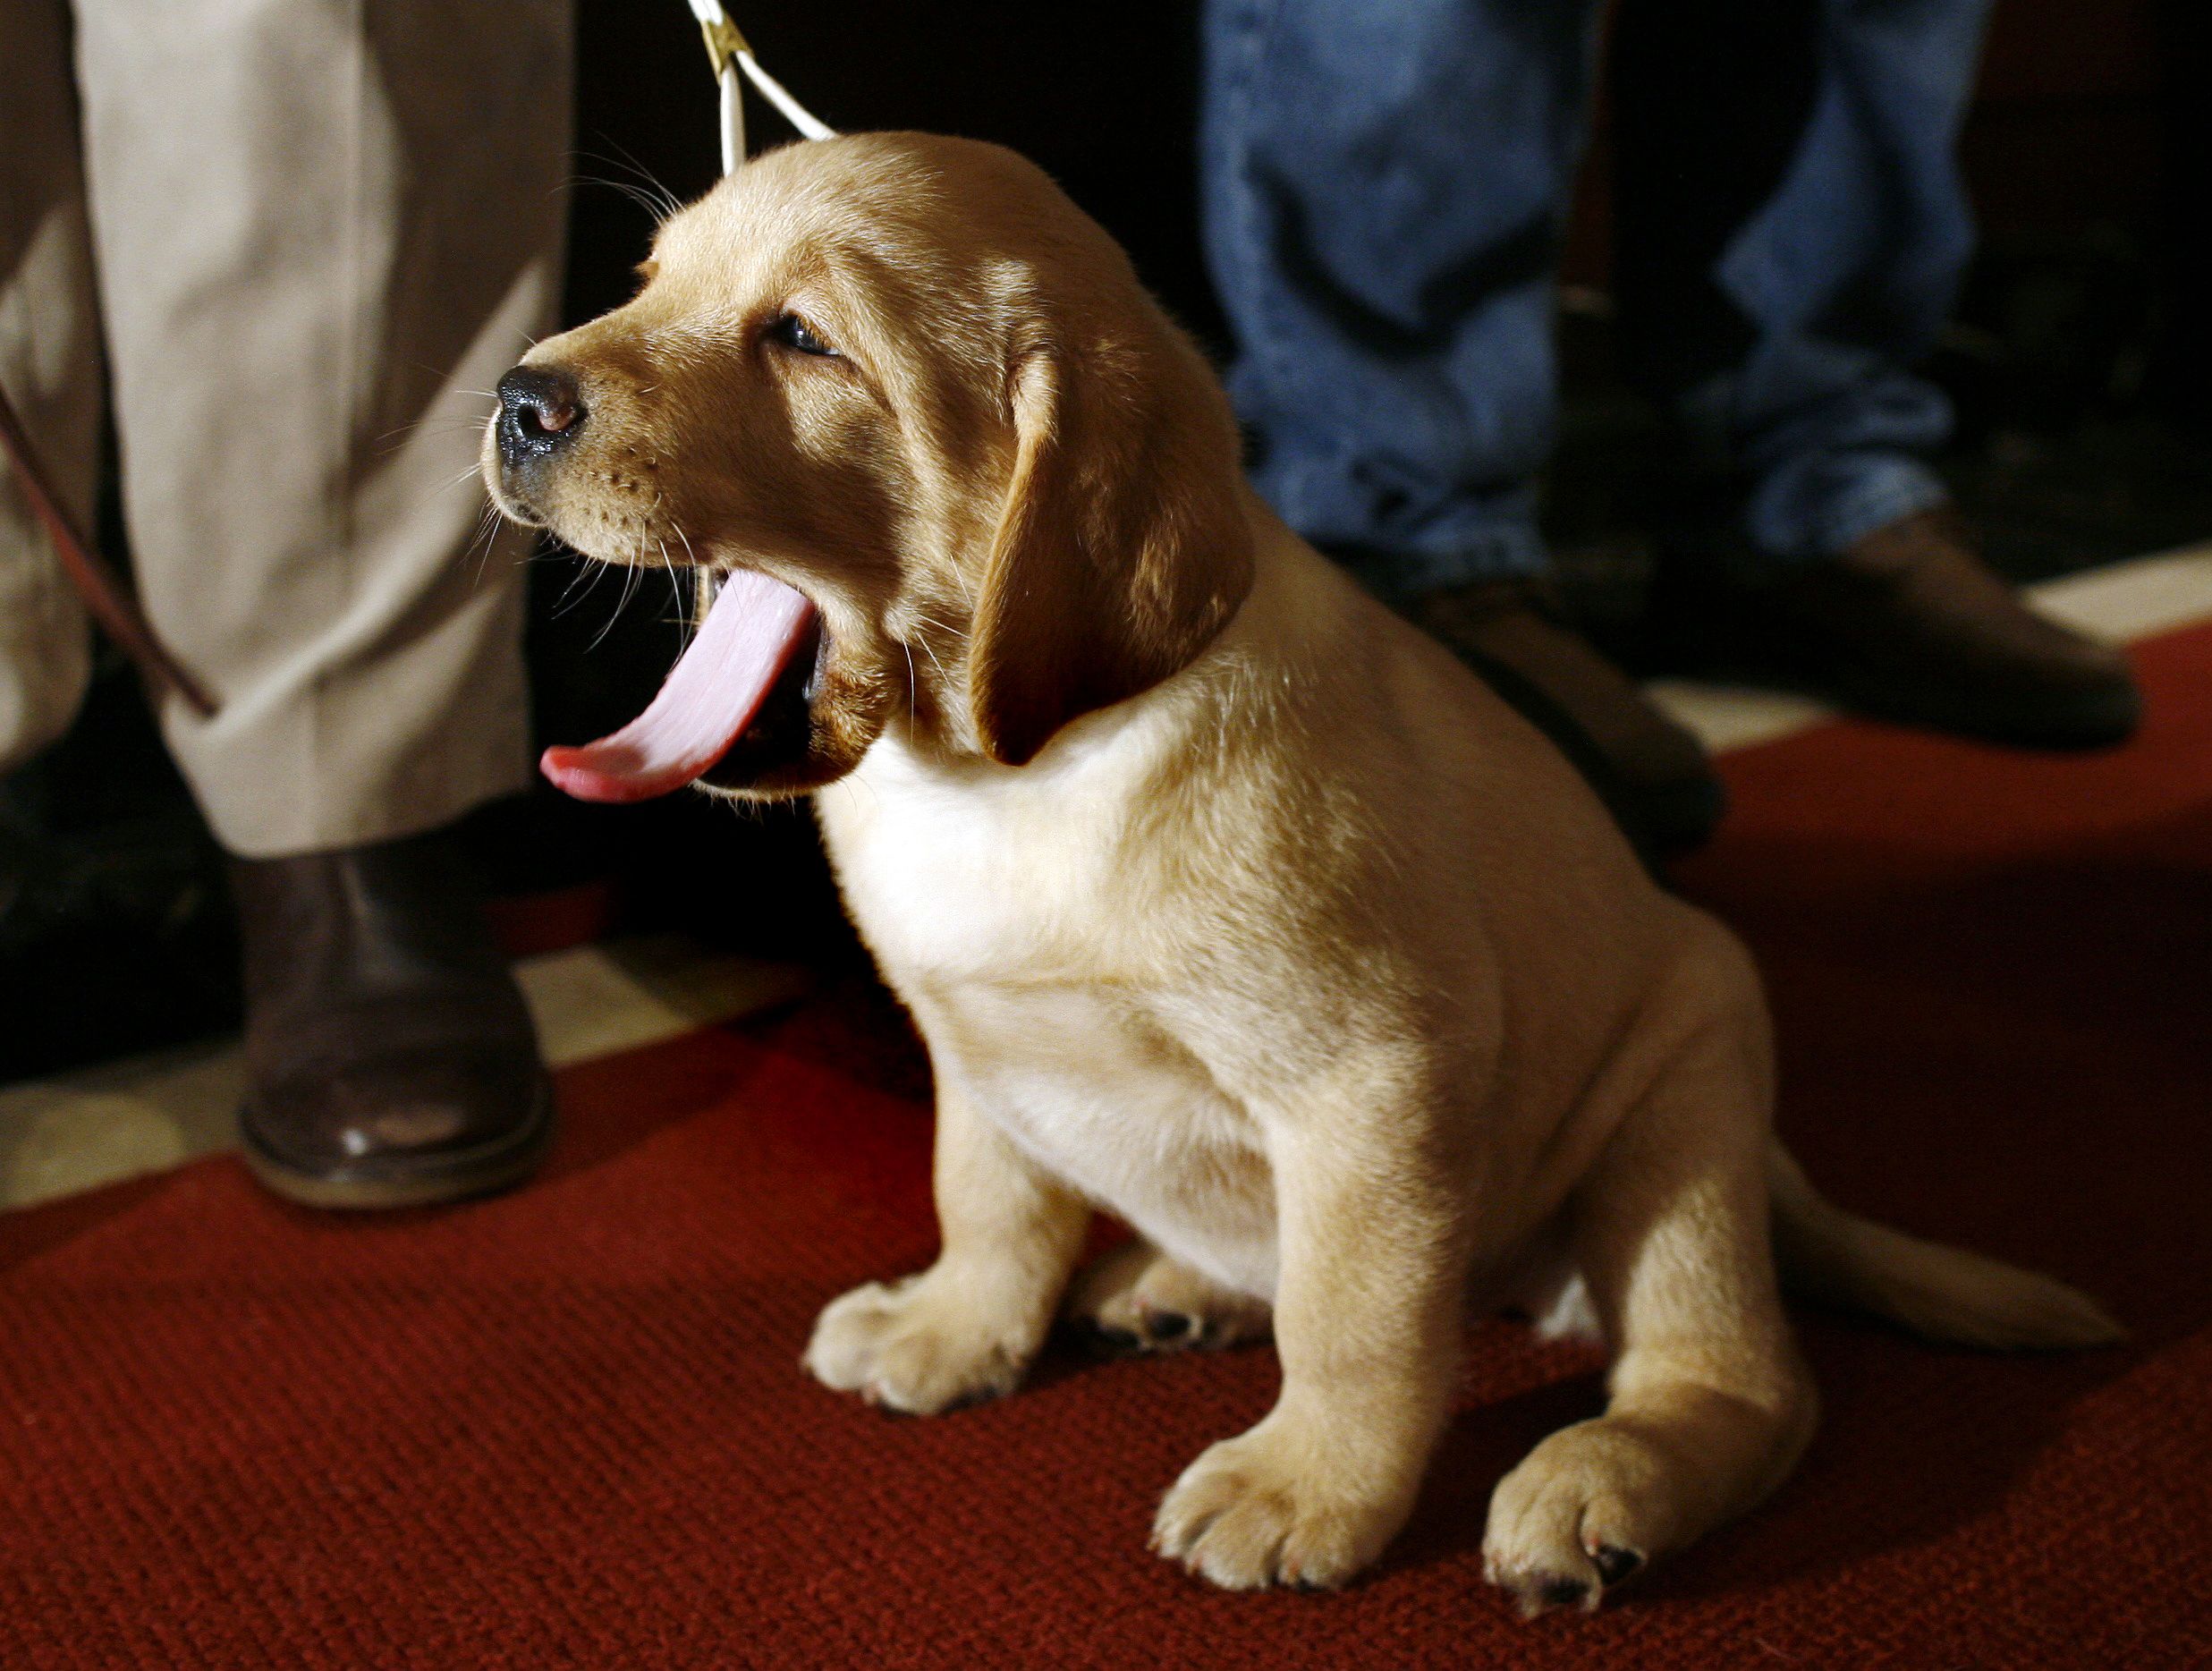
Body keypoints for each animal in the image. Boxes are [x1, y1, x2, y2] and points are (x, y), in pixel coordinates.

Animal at [488, 133, 2123, 1611]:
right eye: (644, 283)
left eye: (804, 340)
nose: (514, 400)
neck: (1008, 776)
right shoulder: (972, 1043)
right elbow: (991, 1201)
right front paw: (955, 1331)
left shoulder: (1372, 1079)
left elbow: (1352, 1320)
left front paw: (1305, 1491)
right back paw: (1172, 1288)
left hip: (1683, 1105)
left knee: (1738, 1378)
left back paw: (1600, 1481)